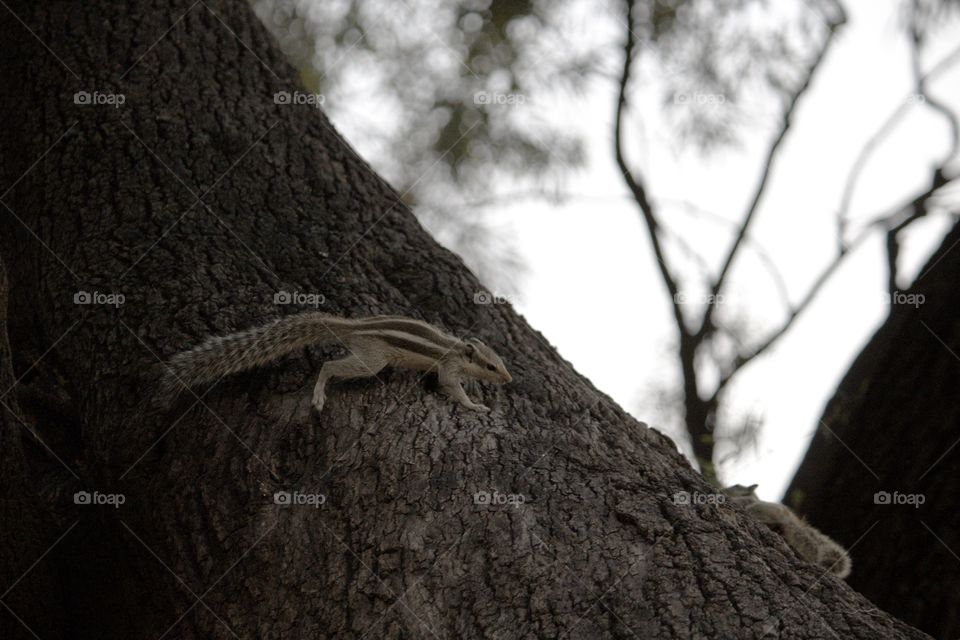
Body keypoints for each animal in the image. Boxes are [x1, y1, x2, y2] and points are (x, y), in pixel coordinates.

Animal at [162, 313, 512, 412]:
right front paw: (474, 406)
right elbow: (452, 386)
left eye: (501, 361)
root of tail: (354, 327)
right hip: (372, 361)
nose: (509, 380)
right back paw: (318, 394)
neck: (458, 350)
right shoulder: (449, 368)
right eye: (491, 367)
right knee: (329, 367)